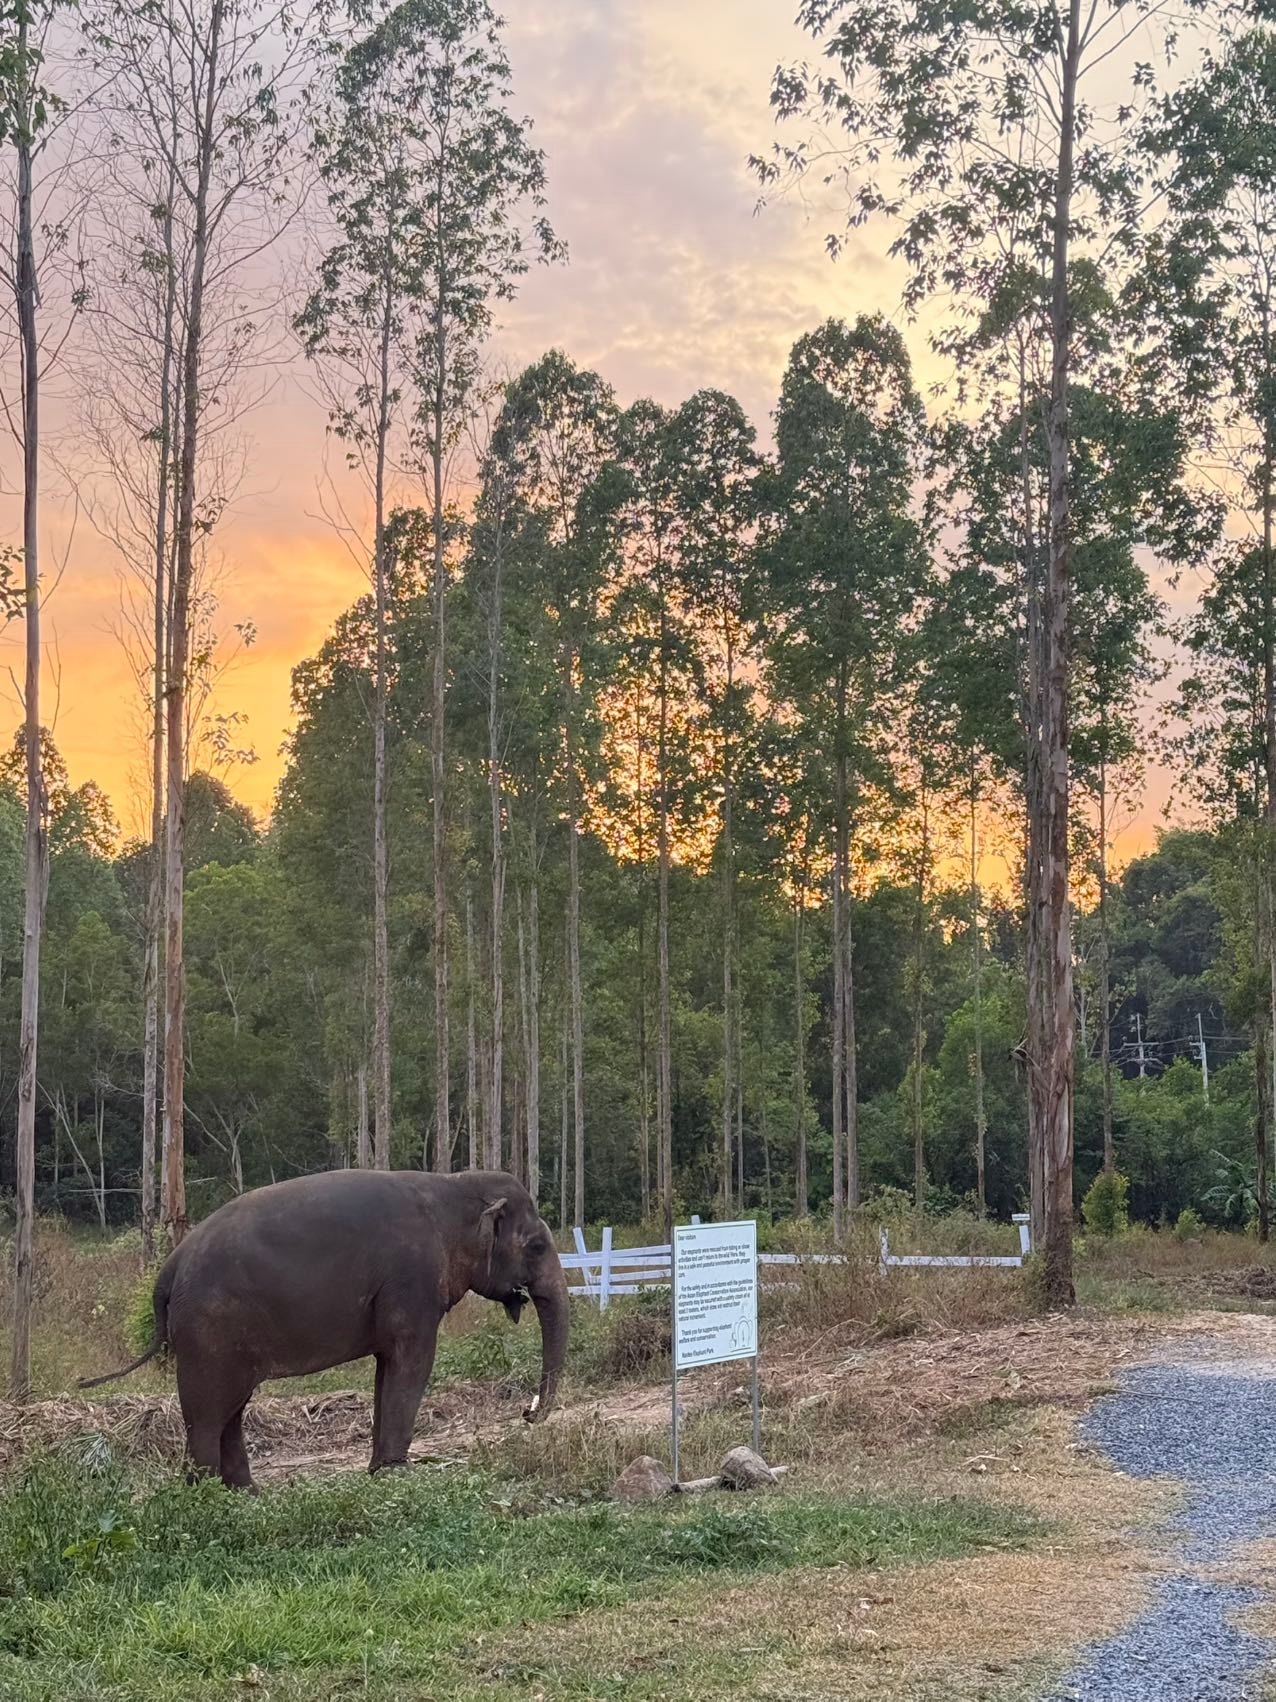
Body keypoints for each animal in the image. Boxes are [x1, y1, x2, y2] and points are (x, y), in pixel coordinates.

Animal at [79, 1169, 569, 1490]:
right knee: (208, 1412)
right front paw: (398, 1471)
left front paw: (379, 1470)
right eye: (536, 1246)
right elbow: (413, 1359)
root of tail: (169, 1269)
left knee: (229, 1409)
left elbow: (387, 1368)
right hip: (208, 1329)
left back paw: (245, 1493)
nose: (527, 1413)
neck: (454, 1185)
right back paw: (205, 1495)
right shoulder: (412, 1282)